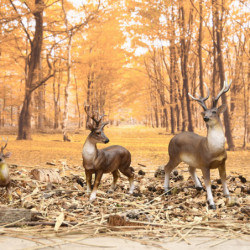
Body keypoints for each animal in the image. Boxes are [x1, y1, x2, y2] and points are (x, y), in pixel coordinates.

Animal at [164, 78, 232, 209]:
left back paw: (198, 186)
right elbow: (208, 182)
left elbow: (224, 179)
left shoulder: (223, 162)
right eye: (205, 112)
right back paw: (166, 190)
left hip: (192, 159)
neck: (214, 149)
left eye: (214, 111)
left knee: (190, 168)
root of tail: (172, 139)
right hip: (174, 155)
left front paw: (228, 197)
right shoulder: (205, 163)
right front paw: (212, 203)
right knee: (167, 168)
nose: (205, 118)